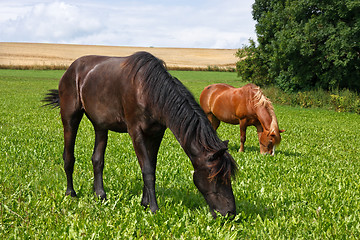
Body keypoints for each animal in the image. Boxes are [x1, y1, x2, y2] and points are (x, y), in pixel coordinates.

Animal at [43, 51, 239, 218]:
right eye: (216, 177)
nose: (230, 213)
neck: (149, 91)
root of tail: (71, 69)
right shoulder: (136, 132)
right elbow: (147, 169)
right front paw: (153, 208)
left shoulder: (156, 134)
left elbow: (151, 165)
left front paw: (144, 203)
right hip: (70, 118)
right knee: (68, 156)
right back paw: (71, 193)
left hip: (100, 125)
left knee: (97, 159)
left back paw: (100, 195)